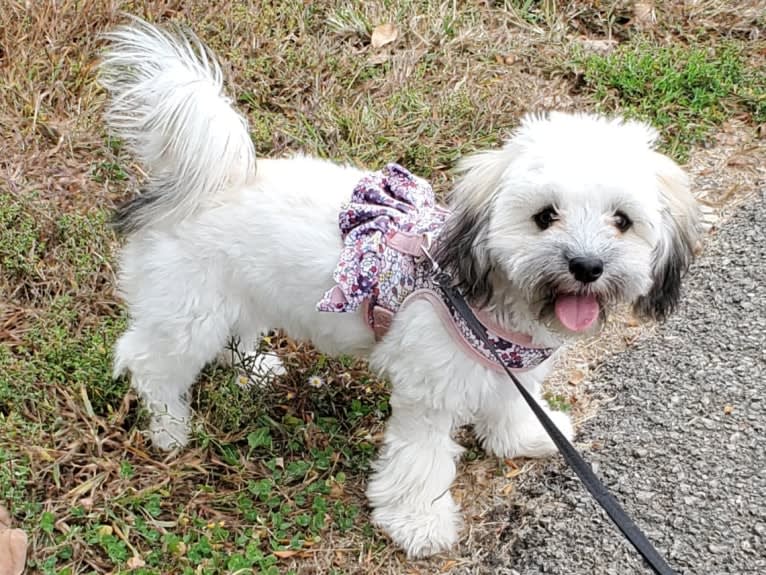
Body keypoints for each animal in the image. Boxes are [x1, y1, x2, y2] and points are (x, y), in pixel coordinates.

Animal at [99, 16, 704, 560]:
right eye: (544, 216)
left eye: (622, 220)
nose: (586, 265)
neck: (491, 302)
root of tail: (208, 180)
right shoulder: (428, 393)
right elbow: (421, 461)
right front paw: (418, 524)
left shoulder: (514, 371)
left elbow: (511, 406)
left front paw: (522, 439)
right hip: (187, 311)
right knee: (146, 359)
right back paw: (168, 426)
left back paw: (253, 369)